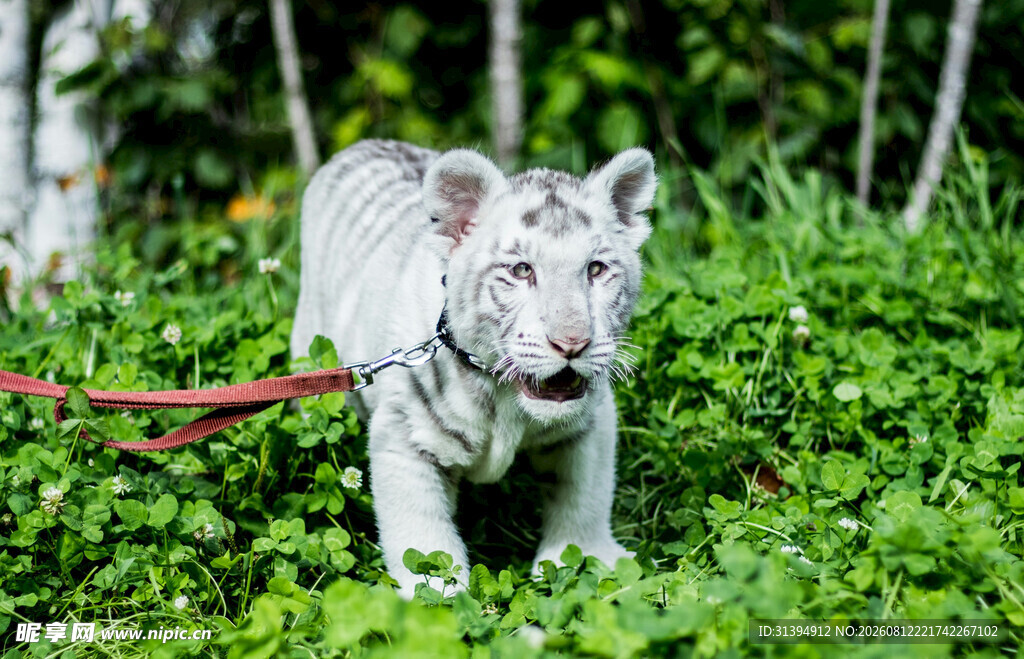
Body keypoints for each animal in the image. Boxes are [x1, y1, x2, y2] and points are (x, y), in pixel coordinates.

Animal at [291, 139, 656, 598]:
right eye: (522, 270)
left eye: (595, 269)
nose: (572, 343)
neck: (504, 396)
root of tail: (363, 144)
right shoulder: (404, 437)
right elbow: (422, 536)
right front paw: (438, 600)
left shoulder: (590, 424)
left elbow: (583, 497)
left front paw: (584, 560)